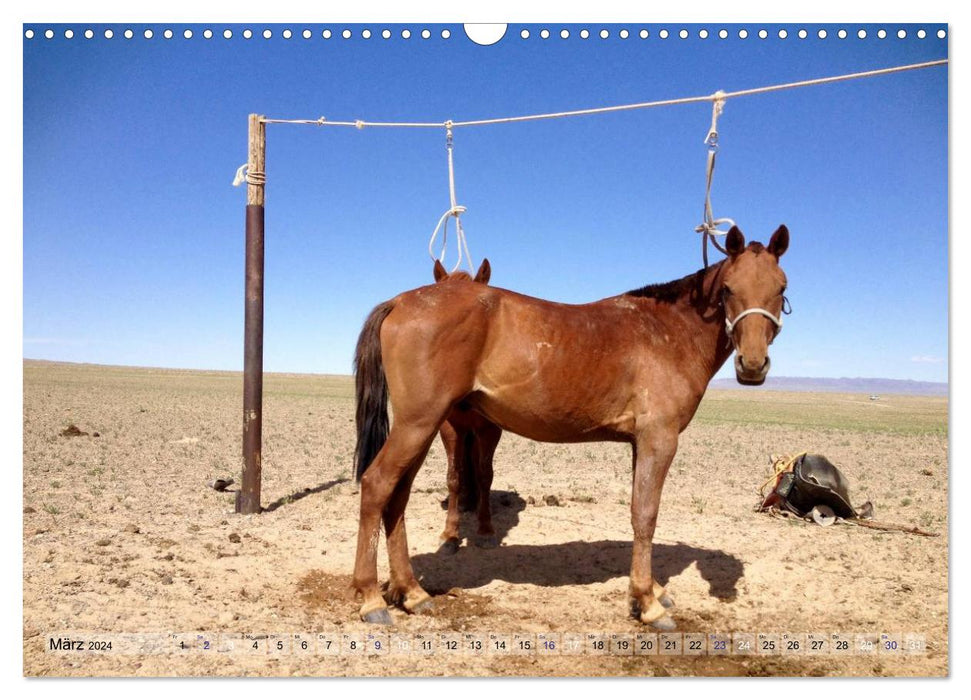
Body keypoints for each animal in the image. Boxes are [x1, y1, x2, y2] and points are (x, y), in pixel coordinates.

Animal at [352, 226, 788, 628]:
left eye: (780, 288)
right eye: (728, 288)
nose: (752, 365)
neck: (667, 331)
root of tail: (400, 301)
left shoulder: (640, 443)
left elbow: (639, 512)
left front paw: (651, 591)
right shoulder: (659, 439)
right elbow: (645, 515)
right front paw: (647, 603)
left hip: (422, 428)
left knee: (397, 497)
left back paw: (411, 592)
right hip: (420, 423)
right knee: (377, 485)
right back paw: (372, 598)